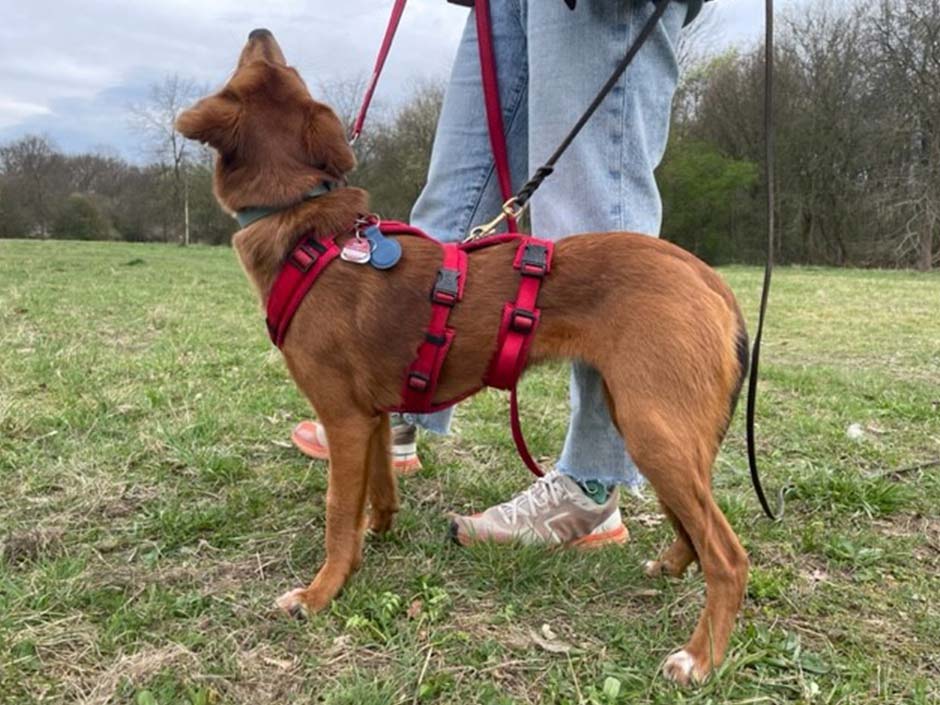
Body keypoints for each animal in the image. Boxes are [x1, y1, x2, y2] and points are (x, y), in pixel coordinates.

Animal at [176, 31, 748, 680]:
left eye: (254, 67)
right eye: (278, 66)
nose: (259, 34)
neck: (308, 235)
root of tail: (705, 275)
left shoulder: (343, 418)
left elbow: (336, 514)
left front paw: (322, 592)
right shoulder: (371, 417)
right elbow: (378, 488)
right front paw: (381, 533)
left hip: (653, 427)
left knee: (728, 555)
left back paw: (699, 657)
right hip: (647, 420)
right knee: (694, 523)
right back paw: (673, 565)